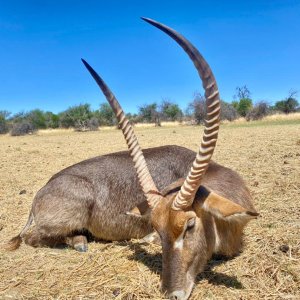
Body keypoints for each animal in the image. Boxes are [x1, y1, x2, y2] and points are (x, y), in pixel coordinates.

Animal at [7, 18, 258, 300]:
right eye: (158, 229)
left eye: (190, 225)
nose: (172, 293)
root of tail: (40, 192)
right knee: (33, 238)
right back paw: (79, 242)